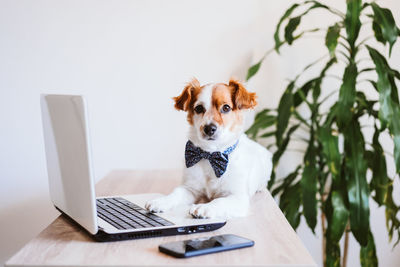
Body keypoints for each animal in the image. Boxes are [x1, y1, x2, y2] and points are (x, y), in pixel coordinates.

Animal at [145, 78, 274, 220]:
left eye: (226, 107)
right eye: (199, 108)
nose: (209, 128)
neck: (210, 154)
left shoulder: (237, 198)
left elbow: (219, 201)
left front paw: (205, 207)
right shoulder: (190, 189)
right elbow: (176, 193)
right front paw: (161, 201)